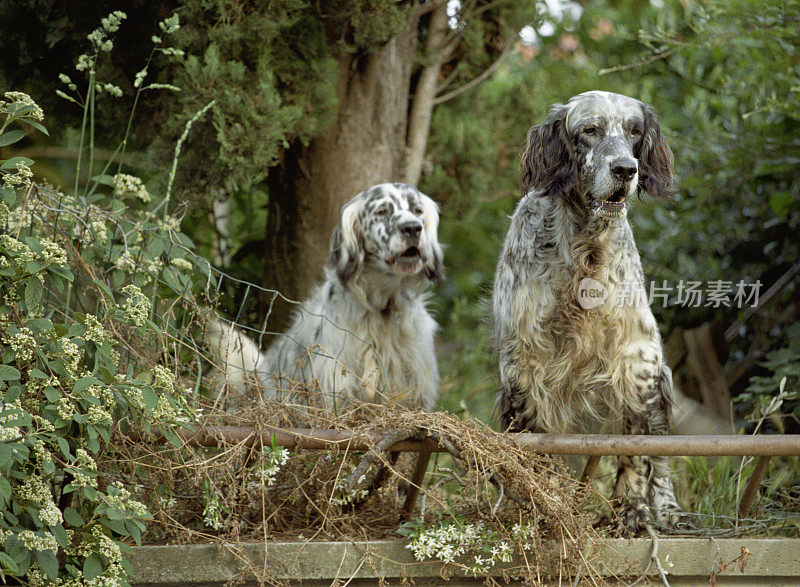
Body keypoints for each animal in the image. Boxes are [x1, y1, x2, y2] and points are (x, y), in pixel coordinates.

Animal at [490, 89, 696, 536]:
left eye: (634, 131)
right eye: (589, 130)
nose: (625, 169)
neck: (586, 249)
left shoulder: (638, 357)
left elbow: (637, 451)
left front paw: (632, 511)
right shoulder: (522, 365)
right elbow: (536, 449)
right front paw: (540, 504)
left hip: (662, 380)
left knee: (662, 459)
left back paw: (667, 509)